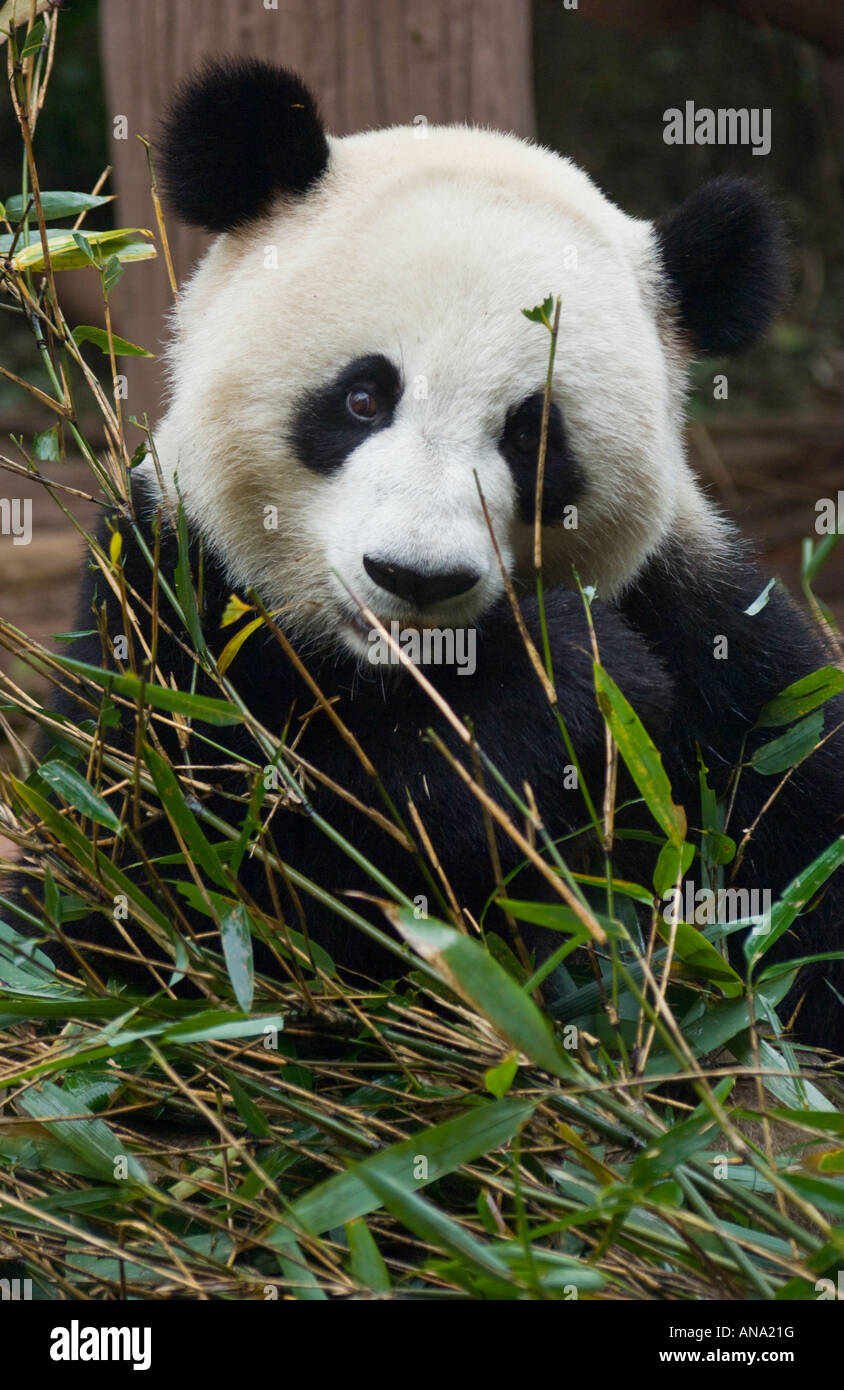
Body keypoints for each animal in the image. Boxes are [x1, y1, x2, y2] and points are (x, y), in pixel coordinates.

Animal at [14, 54, 844, 1050]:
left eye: (532, 437)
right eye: (364, 397)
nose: (415, 576)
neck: (402, 679)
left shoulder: (722, 650)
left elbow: (792, 855)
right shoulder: (164, 614)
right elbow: (185, 881)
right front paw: (562, 686)